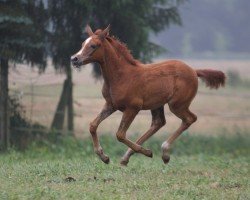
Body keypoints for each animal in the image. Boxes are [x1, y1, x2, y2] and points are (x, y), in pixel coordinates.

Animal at [70, 25, 225, 166]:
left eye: (93, 45)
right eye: (83, 44)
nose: (74, 59)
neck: (121, 76)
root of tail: (193, 70)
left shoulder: (133, 108)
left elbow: (120, 134)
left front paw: (147, 152)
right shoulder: (110, 105)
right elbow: (93, 125)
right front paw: (104, 157)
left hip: (177, 105)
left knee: (189, 119)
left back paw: (164, 152)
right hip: (157, 104)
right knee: (158, 123)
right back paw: (127, 157)